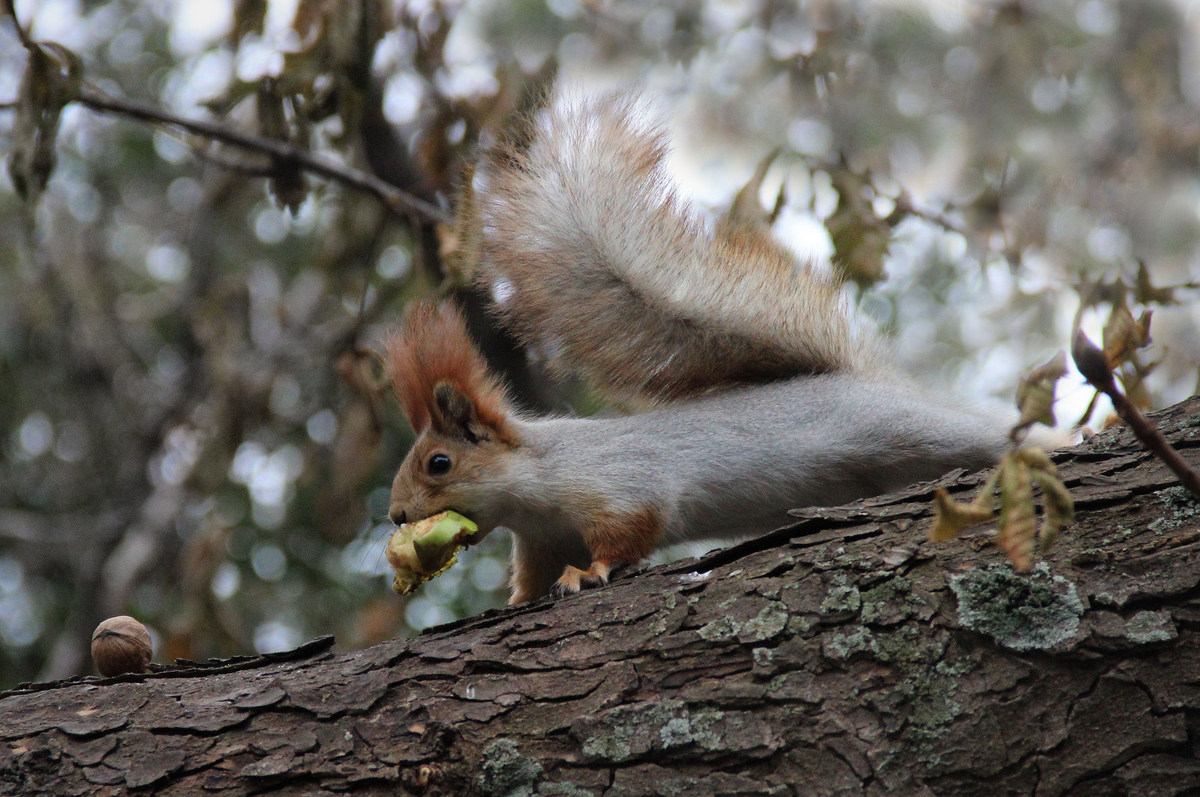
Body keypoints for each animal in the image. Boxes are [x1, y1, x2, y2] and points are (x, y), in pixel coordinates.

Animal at [384, 91, 1012, 604]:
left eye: (439, 463)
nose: (396, 515)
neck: (537, 478)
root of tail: (871, 380)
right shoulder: (540, 540)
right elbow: (534, 579)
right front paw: (516, 602)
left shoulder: (621, 486)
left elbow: (627, 533)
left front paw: (591, 573)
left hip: (906, 428)